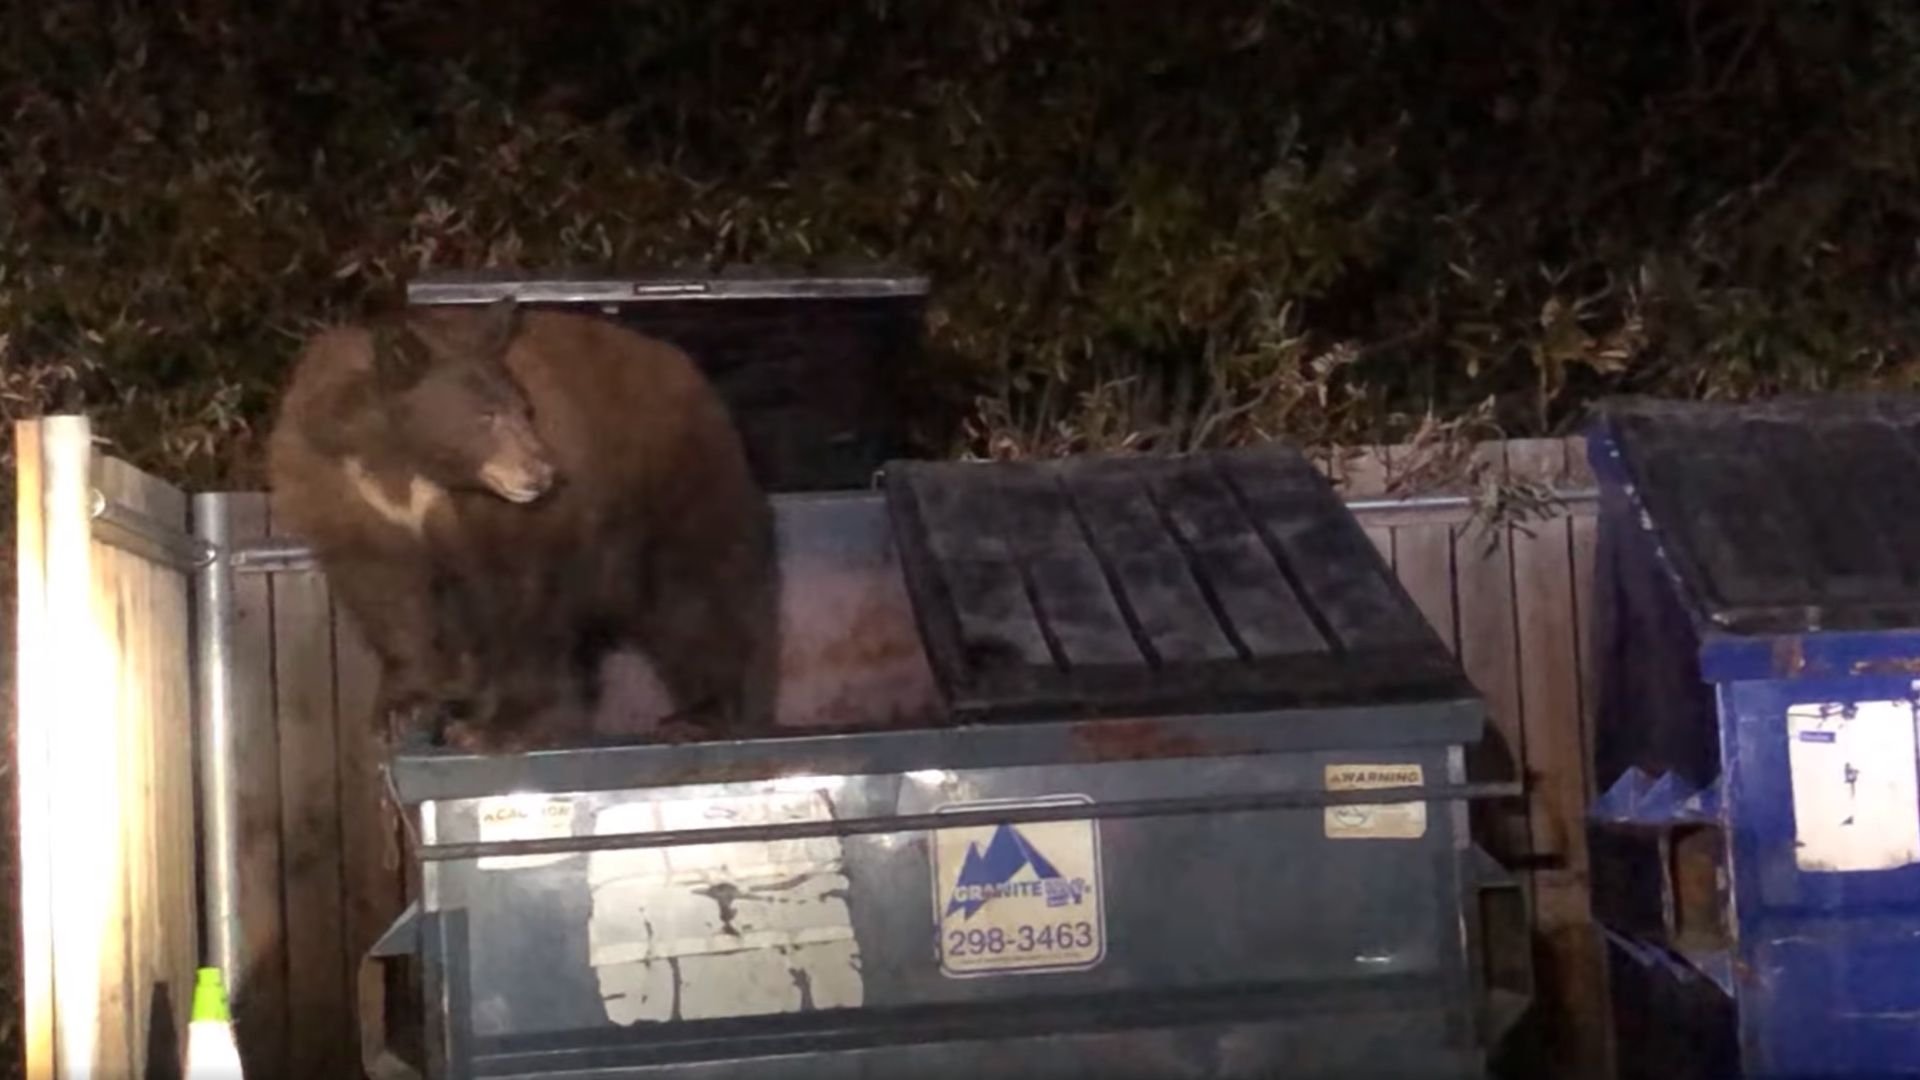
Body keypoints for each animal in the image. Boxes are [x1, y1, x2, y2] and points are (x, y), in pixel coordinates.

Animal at [266, 290, 783, 753]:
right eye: (485, 416)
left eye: (526, 408)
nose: (543, 473)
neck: (409, 466)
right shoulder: (348, 498)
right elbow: (388, 594)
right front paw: (401, 707)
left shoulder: (516, 523)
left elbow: (523, 600)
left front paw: (502, 725)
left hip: (669, 486)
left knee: (694, 592)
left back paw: (701, 712)